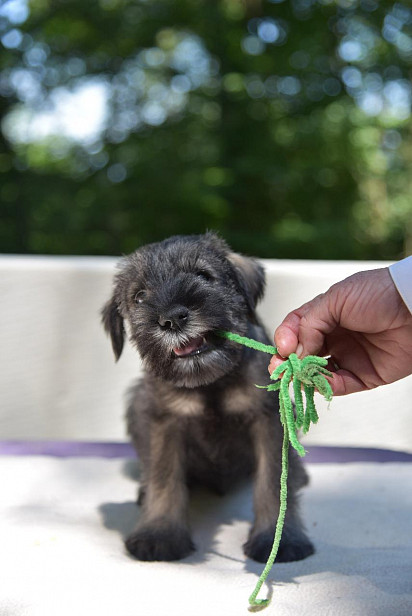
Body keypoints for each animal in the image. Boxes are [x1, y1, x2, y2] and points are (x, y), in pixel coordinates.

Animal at [102, 231, 312, 564]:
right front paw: (159, 534)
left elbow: (273, 482)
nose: (172, 318)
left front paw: (277, 540)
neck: (211, 384)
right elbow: (164, 477)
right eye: (139, 296)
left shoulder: (267, 420)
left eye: (204, 276)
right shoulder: (165, 421)